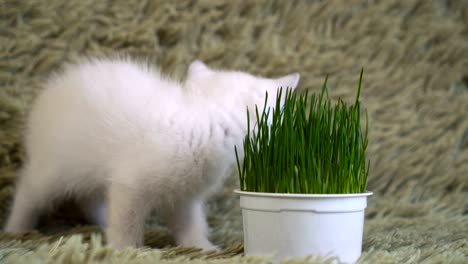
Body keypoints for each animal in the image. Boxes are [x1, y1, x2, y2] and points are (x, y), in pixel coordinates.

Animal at [3, 57, 300, 250]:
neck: (205, 118)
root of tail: (48, 92)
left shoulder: (184, 195)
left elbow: (189, 222)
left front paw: (201, 247)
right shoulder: (130, 183)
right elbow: (126, 221)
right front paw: (124, 249)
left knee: (90, 196)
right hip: (54, 164)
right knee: (30, 190)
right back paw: (16, 227)